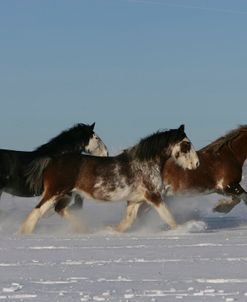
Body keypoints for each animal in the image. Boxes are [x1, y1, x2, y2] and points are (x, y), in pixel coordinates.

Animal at [18, 124, 199, 234]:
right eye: (186, 145)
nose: (196, 164)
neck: (145, 163)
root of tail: (52, 160)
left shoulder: (135, 200)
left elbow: (126, 222)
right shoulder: (153, 196)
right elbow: (169, 218)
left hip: (67, 194)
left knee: (59, 210)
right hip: (55, 192)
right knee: (37, 212)